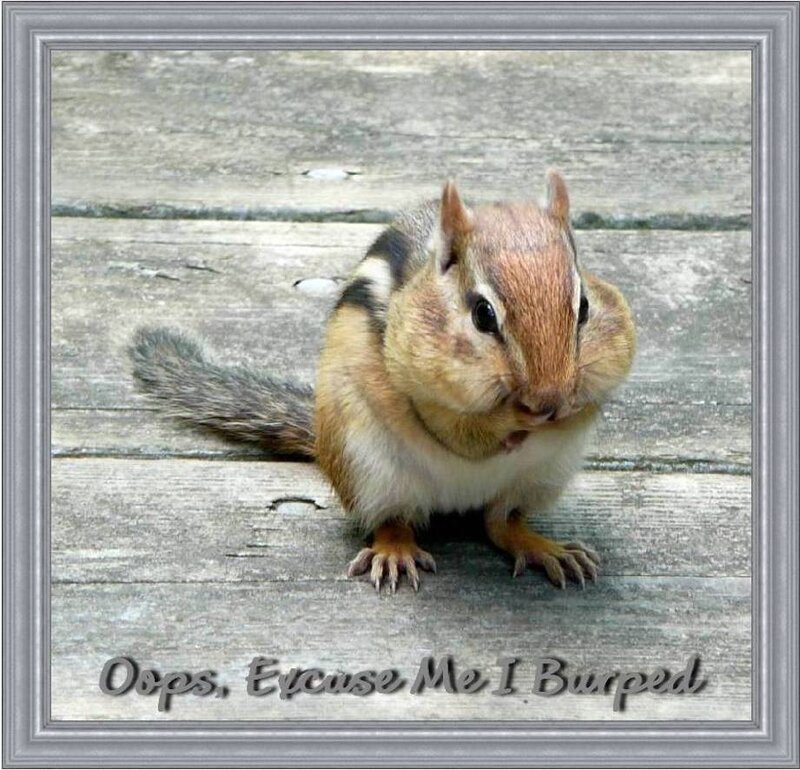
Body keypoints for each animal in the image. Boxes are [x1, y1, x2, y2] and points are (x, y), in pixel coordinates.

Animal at [130, 171, 635, 593]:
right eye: (483, 314)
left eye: (584, 307)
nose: (549, 398)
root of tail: (457, 500)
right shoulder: (421, 389)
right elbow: (460, 433)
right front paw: (513, 417)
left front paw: (572, 408)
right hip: (368, 466)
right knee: (394, 520)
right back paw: (396, 551)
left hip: (541, 478)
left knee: (500, 523)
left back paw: (547, 549)